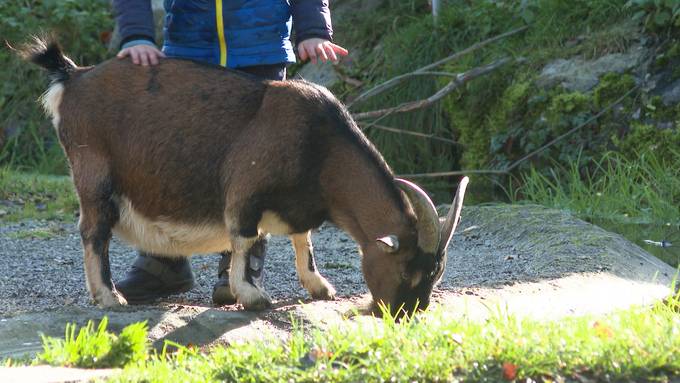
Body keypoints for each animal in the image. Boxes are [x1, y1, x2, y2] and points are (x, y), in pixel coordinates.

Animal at [22, 37, 468, 316]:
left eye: (437, 274)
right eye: (408, 269)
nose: (401, 314)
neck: (320, 145)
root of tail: (73, 76)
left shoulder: (297, 207)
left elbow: (302, 240)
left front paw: (319, 286)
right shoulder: (245, 186)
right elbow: (243, 235)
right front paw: (251, 295)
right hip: (93, 172)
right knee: (94, 231)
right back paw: (109, 297)